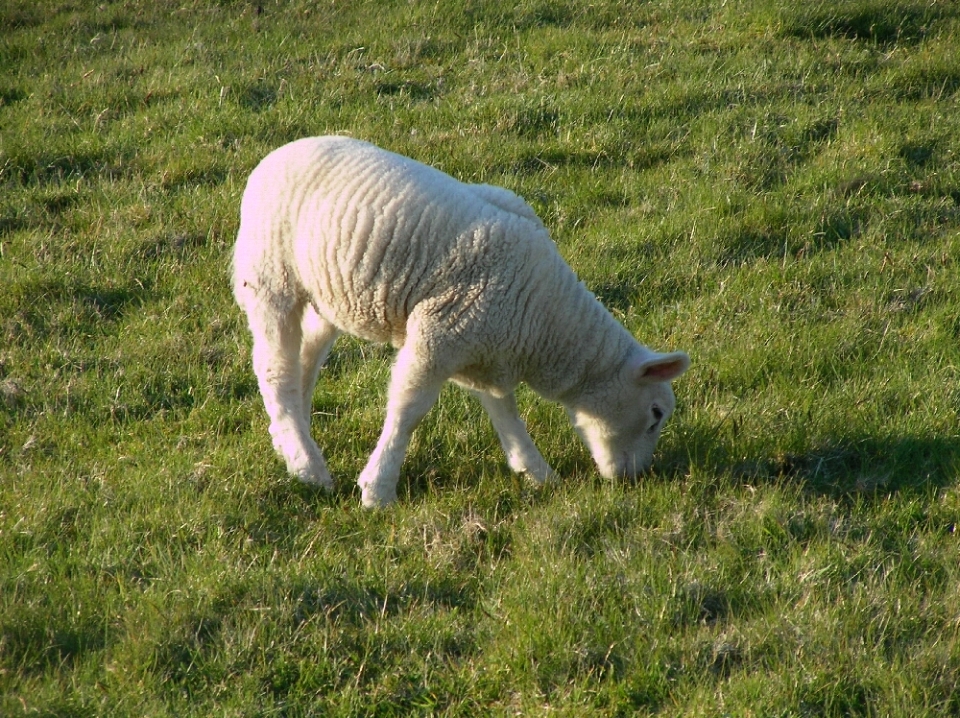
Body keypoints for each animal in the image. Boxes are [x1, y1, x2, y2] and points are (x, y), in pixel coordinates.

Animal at [233, 136, 690, 507]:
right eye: (655, 414)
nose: (635, 479)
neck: (545, 319)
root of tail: (275, 155)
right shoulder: (438, 336)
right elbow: (408, 410)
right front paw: (378, 489)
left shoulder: (482, 345)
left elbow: (504, 409)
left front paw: (536, 471)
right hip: (271, 279)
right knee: (275, 372)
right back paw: (308, 467)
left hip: (327, 298)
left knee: (303, 365)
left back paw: (292, 444)